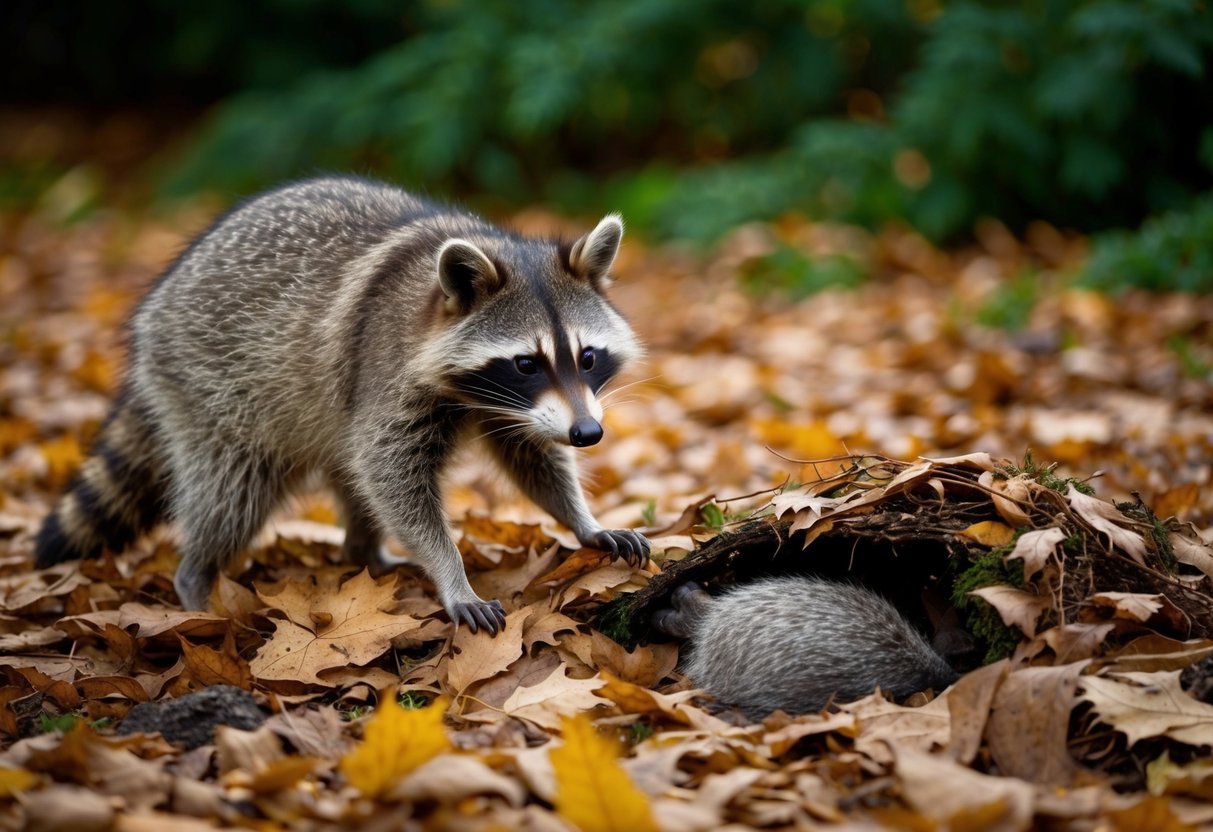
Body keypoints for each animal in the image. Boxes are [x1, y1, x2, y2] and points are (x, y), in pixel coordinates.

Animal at [35, 176, 649, 634]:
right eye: (526, 363)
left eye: (587, 357)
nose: (588, 433)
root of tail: (154, 311)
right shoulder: (387, 368)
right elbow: (392, 473)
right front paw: (451, 571)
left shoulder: (515, 407)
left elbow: (529, 455)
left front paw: (583, 519)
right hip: (213, 383)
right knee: (231, 492)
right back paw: (196, 580)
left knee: (348, 474)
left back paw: (363, 551)